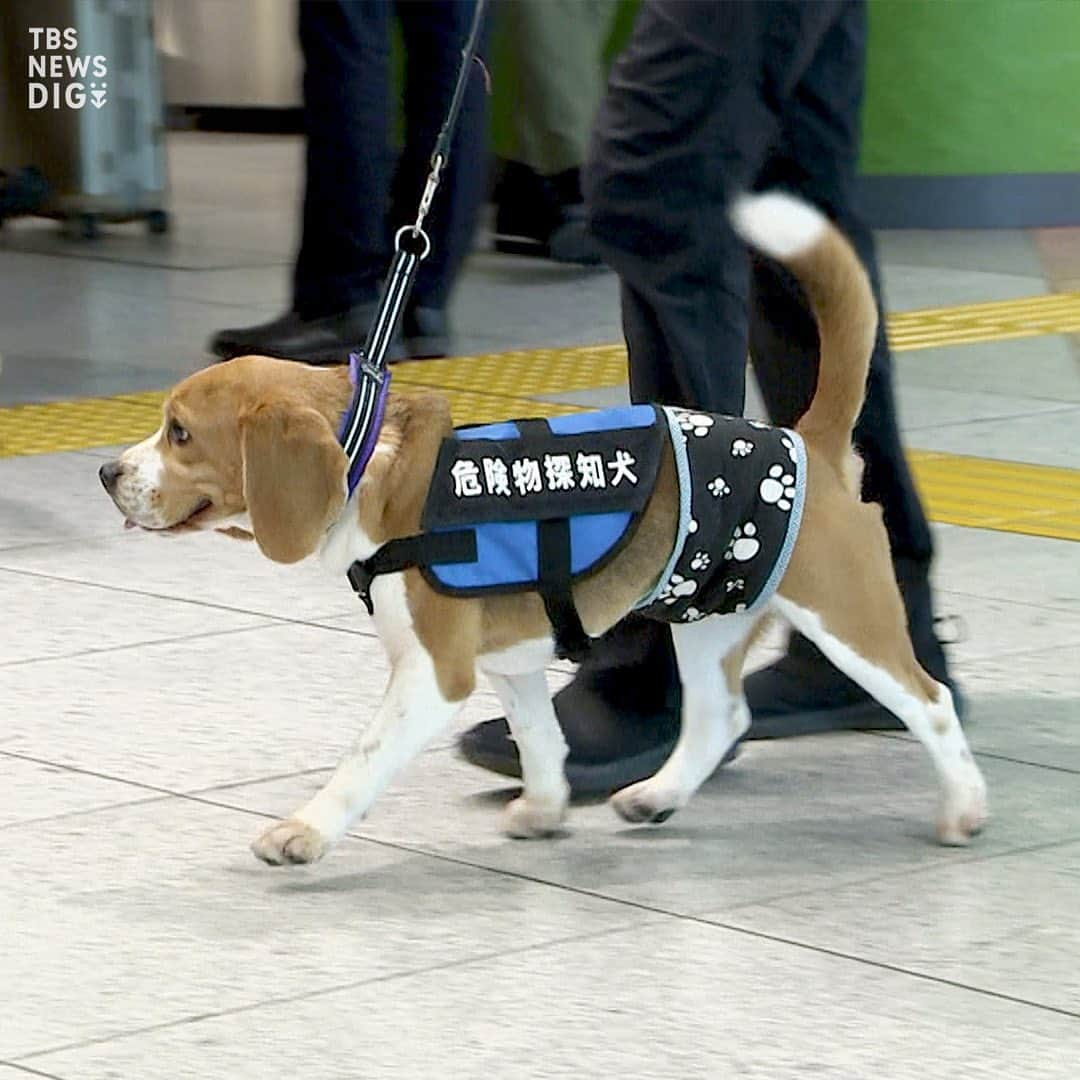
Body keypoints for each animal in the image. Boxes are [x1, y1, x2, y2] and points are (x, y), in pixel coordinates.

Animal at [101, 194, 989, 864]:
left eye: (179, 433)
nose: (107, 473)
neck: (373, 474)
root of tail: (806, 442)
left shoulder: (434, 674)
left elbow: (362, 760)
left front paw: (305, 831)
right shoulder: (513, 660)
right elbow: (538, 738)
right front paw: (547, 807)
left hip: (845, 615)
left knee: (932, 701)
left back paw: (965, 806)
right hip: (708, 614)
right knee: (719, 718)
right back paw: (657, 796)